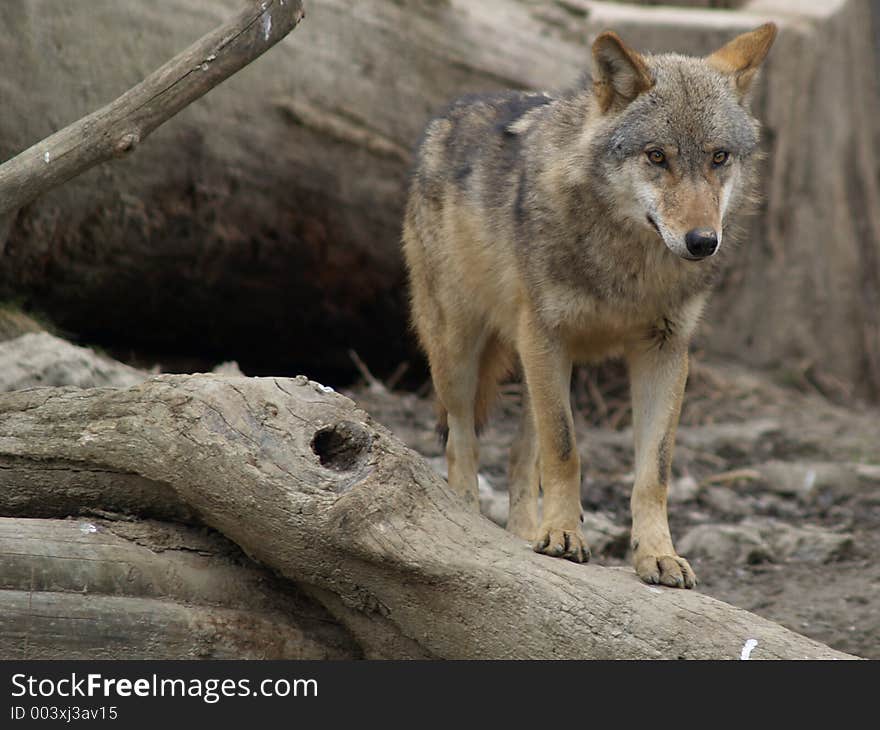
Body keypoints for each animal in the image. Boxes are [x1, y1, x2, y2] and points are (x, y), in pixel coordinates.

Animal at [402, 25, 772, 588]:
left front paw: (656, 555)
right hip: (461, 352)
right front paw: (562, 535)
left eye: (718, 157)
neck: (630, 268)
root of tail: (448, 114)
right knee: (461, 439)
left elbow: (653, 470)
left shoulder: (665, 351)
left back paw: (522, 533)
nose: (702, 242)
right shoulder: (547, 335)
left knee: (519, 452)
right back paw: (470, 517)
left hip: (541, 364)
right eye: (656, 156)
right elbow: (565, 449)